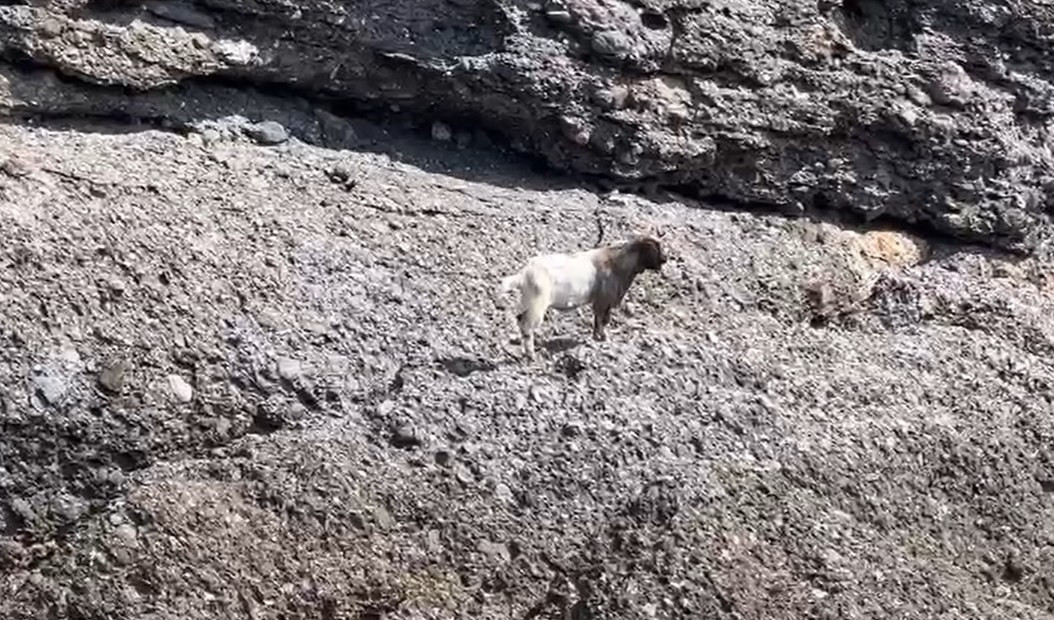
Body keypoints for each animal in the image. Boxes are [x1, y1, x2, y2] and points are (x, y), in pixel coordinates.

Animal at [499, 236, 666, 358]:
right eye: (656, 247)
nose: (665, 258)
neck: (617, 264)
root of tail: (523, 275)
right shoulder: (603, 301)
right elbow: (602, 320)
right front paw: (603, 337)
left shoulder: (600, 302)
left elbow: (597, 320)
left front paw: (596, 336)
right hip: (537, 305)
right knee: (527, 326)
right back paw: (531, 354)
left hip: (526, 302)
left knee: (520, 321)